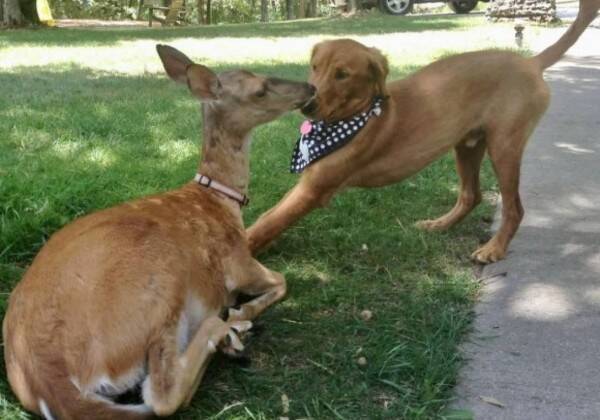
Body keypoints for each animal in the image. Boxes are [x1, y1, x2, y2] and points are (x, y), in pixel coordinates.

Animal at [2, 44, 316, 418]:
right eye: (259, 89)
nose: (311, 88)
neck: (222, 200)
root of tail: (50, 384)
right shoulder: (239, 263)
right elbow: (283, 280)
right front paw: (241, 313)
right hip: (160, 289)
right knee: (162, 395)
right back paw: (228, 330)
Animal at [246, 0, 596, 262]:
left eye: (343, 75)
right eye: (315, 67)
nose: (306, 105)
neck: (356, 116)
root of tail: (530, 63)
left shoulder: (314, 188)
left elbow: (265, 223)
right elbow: (268, 220)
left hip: (504, 146)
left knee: (514, 208)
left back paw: (494, 249)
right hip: (467, 145)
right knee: (471, 195)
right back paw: (440, 225)